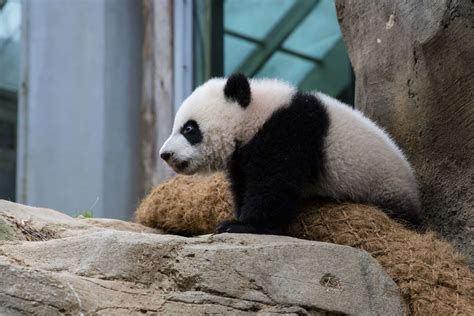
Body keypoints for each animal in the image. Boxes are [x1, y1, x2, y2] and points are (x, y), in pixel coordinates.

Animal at [160, 73, 422, 233]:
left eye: (189, 129)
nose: (165, 154)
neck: (255, 115)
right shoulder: (244, 154)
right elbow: (244, 182)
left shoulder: (289, 132)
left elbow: (273, 183)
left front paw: (242, 224)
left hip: (383, 186)